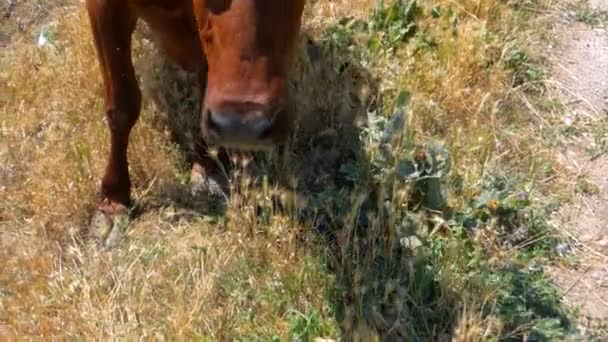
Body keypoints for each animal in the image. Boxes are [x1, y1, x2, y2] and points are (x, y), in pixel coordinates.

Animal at [83, 0, 306, 247]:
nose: (242, 126)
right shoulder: (104, 7)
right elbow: (122, 105)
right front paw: (114, 201)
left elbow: (204, 78)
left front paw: (208, 162)